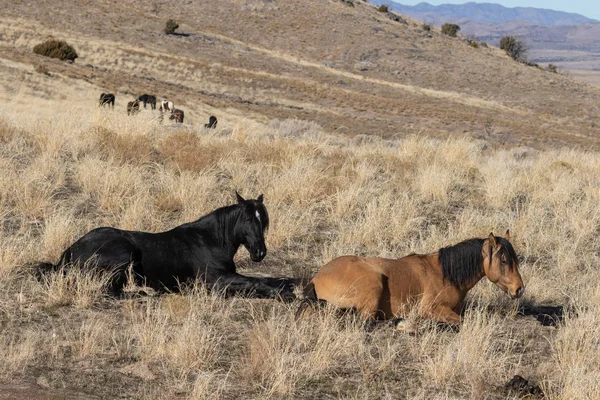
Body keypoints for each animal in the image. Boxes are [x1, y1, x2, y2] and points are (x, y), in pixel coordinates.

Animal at [35, 193, 296, 300]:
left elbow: (265, 279)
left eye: (263, 220)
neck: (211, 241)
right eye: (247, 219)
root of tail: (70, 252)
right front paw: (283, 295)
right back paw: (146, 293)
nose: (260, 253)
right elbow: (254, 283)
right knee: (111, 291)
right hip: (125, 254)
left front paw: (287, 288)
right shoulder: (217, 281)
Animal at [298, 231, 524, 324]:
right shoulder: (432, 309)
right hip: (374, 283)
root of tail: (316, 278)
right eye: (504, 261)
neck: (445, 273)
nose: (519, 289)